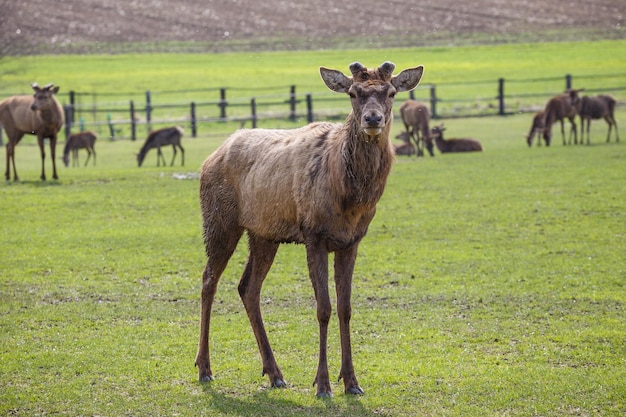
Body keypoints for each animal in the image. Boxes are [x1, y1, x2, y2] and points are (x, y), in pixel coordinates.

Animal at [193, 61, 422, 396]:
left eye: (391, 92)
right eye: (353, 93)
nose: (372, 119)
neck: (350, 200)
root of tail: (209, 158)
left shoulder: (352, 241)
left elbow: (345, 308)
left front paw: (352, 381)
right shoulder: (314, 234)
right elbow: (323, 308)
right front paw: (323, 383)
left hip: (263, 234)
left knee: (248, 287)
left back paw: (275, 373)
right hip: (219, 220)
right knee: (209, 279)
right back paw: (205, 368)